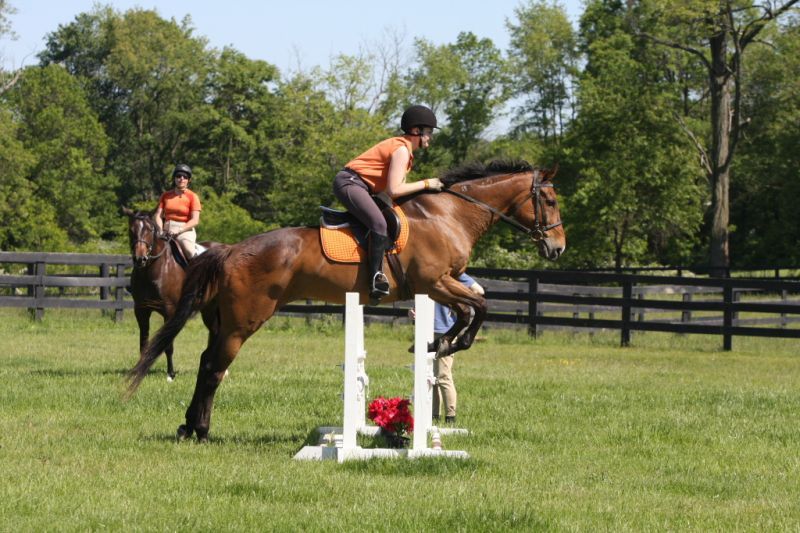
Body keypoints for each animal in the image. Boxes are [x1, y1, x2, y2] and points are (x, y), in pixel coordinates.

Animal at [122, 207, 221, 381]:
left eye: (150, 230)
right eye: (131, 230)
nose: (140, 258)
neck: (154, 269)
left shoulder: (169, 311)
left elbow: (168, 345)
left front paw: (171, 374)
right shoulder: (141, 310)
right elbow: (143, 343)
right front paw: (139, 371)